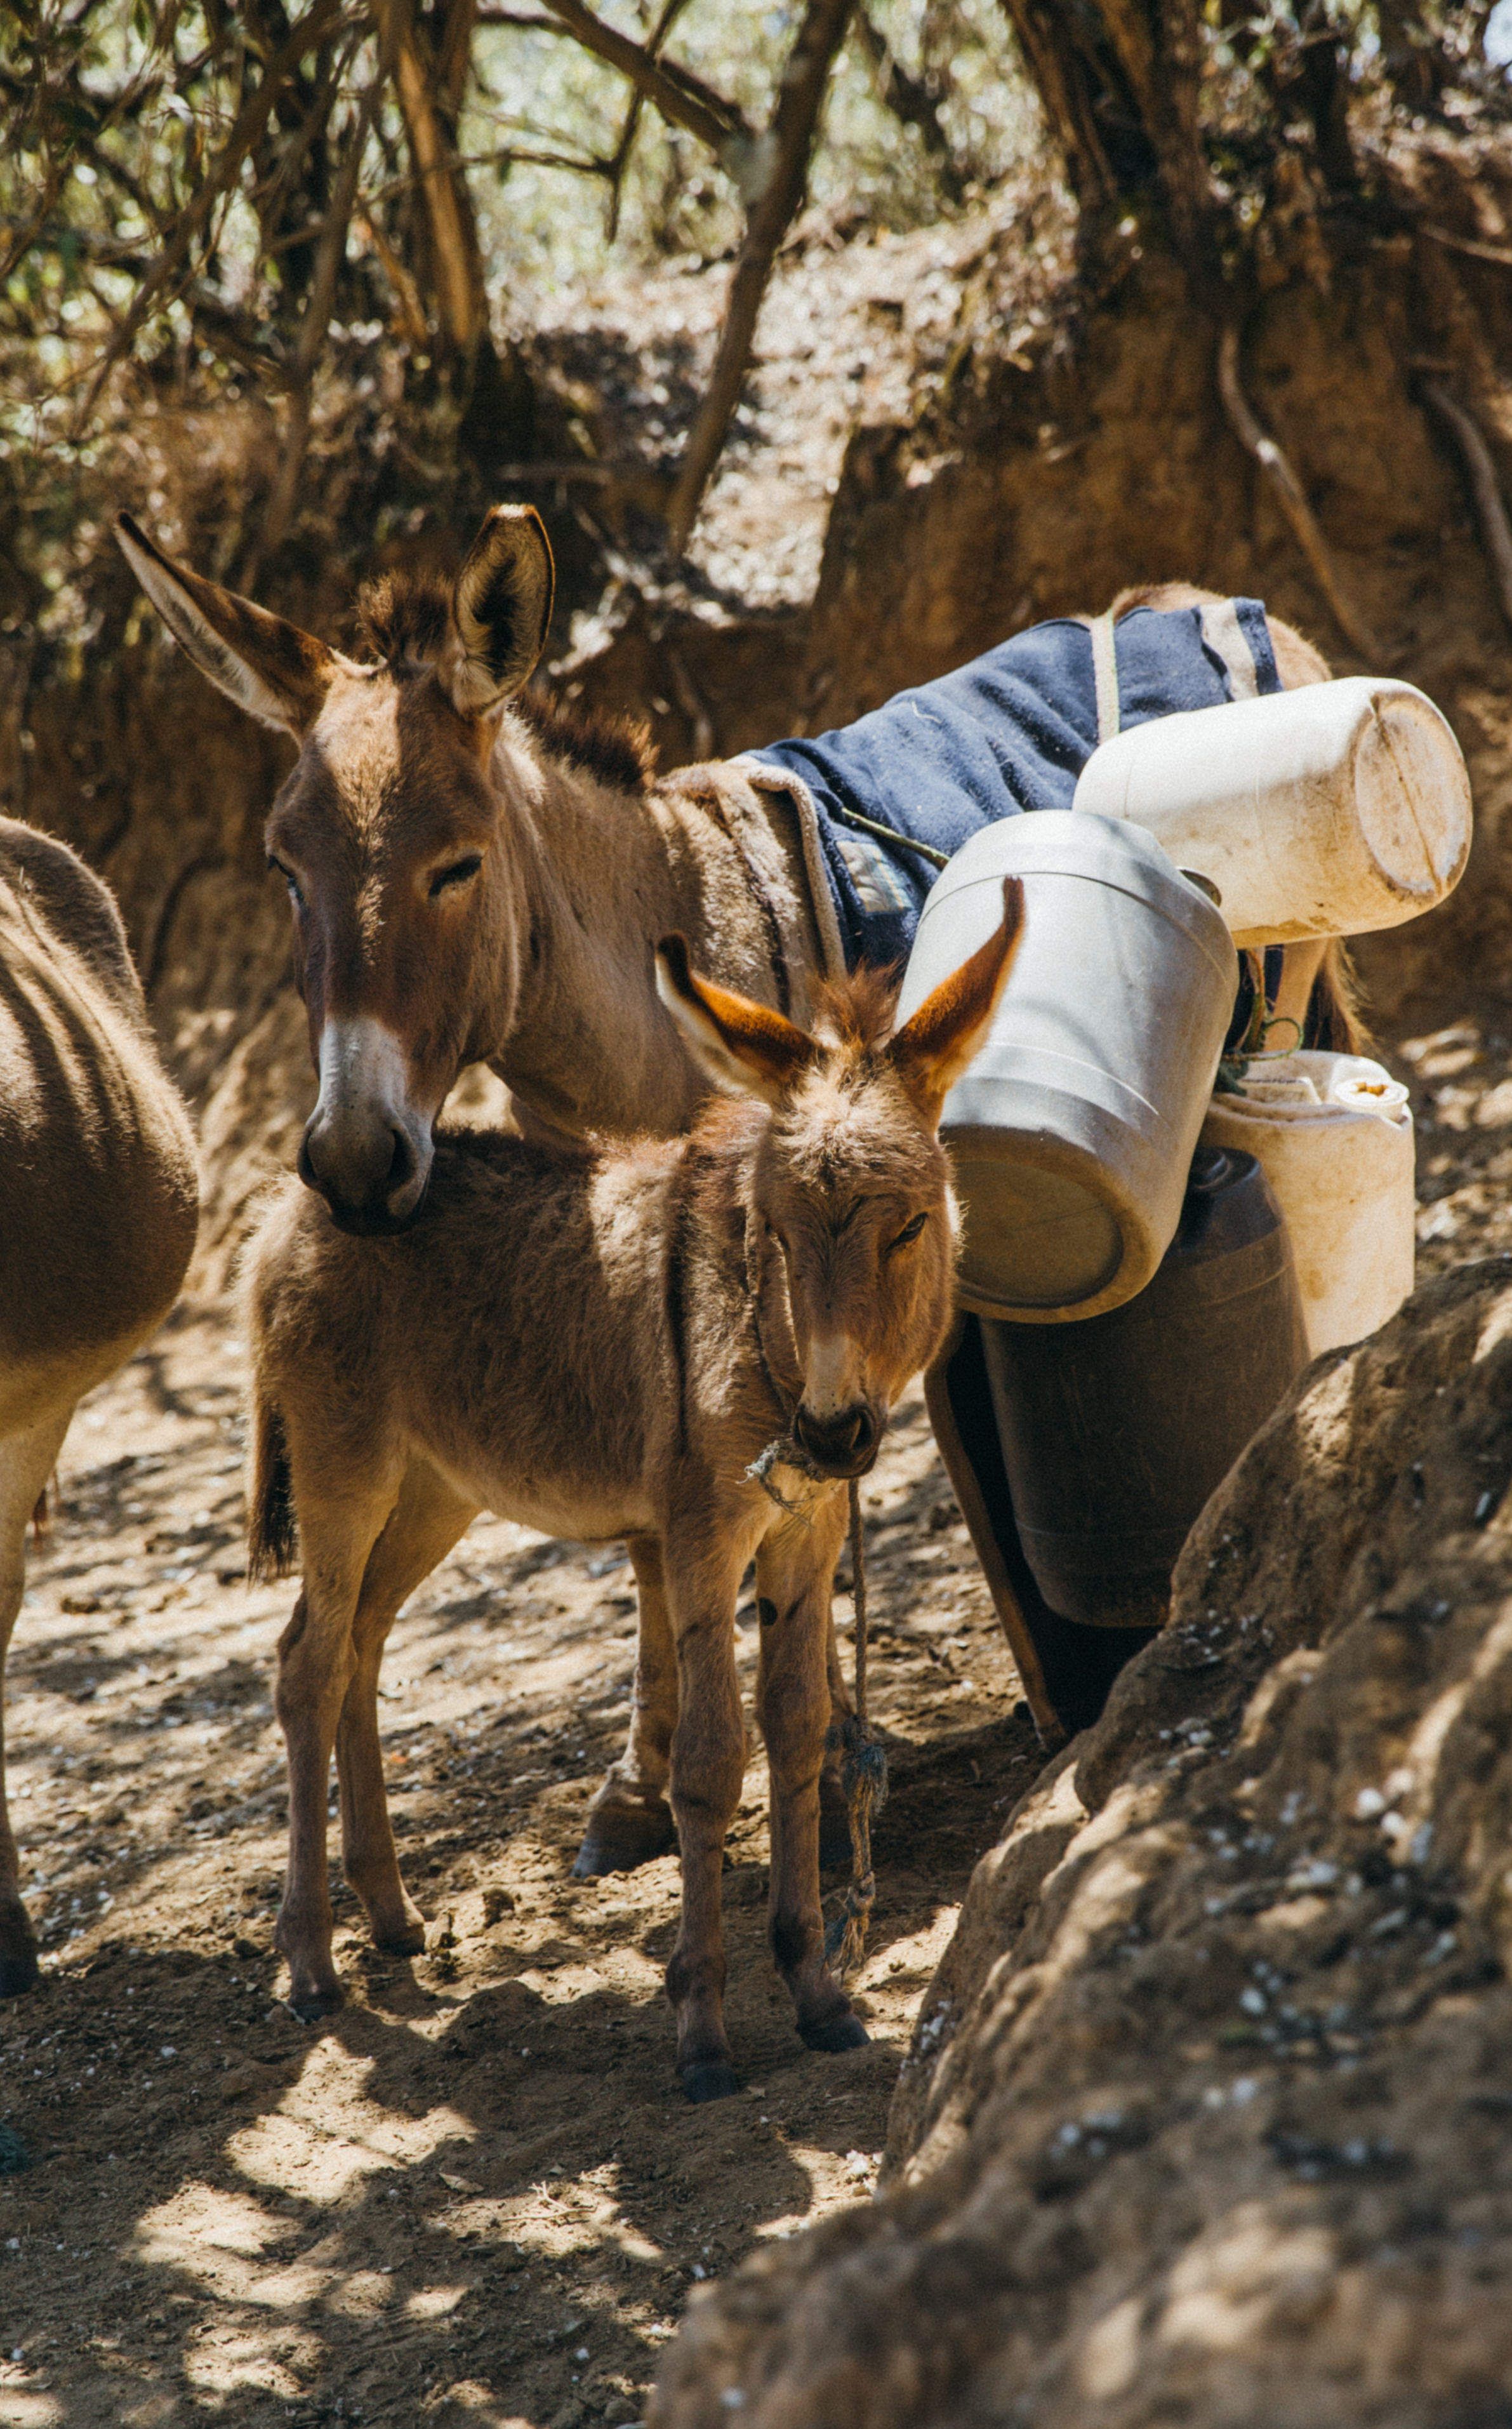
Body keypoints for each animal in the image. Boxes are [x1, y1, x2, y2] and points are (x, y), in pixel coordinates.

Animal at [248, 884, 1024, 2098]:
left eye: (908, 1226)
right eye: (777, 1231)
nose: (832, 1429)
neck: (765, 1341)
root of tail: (300, 1203)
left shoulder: (804, 1533)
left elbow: (798, 1731)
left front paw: (815, 1988)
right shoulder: (702, 1535)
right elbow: (712, 1760)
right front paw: (701, 2027)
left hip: (432, 1490)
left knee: (359, 1648)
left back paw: (390, 1915)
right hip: (344, 1473)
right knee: (306, 1667)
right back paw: (312, 1962)